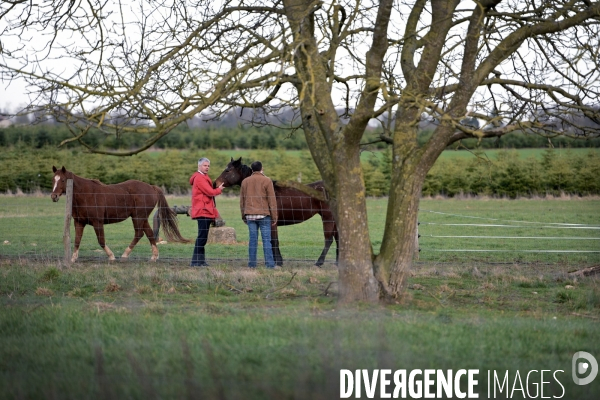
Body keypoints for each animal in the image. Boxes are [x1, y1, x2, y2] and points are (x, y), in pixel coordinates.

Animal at [50, 166, 189, 262]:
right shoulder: (79, 222)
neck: (86, 194)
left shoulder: (97, 222)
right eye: (53, 179)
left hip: (138, 217)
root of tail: (152, 187)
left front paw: (111, 256)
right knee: (149, 234)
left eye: (63, 180)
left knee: (139, 234)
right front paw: (73, 259)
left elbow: (101, 240)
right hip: (142, 218)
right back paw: (154, 257)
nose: (54, 196)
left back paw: (125, 255)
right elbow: (77, 240)